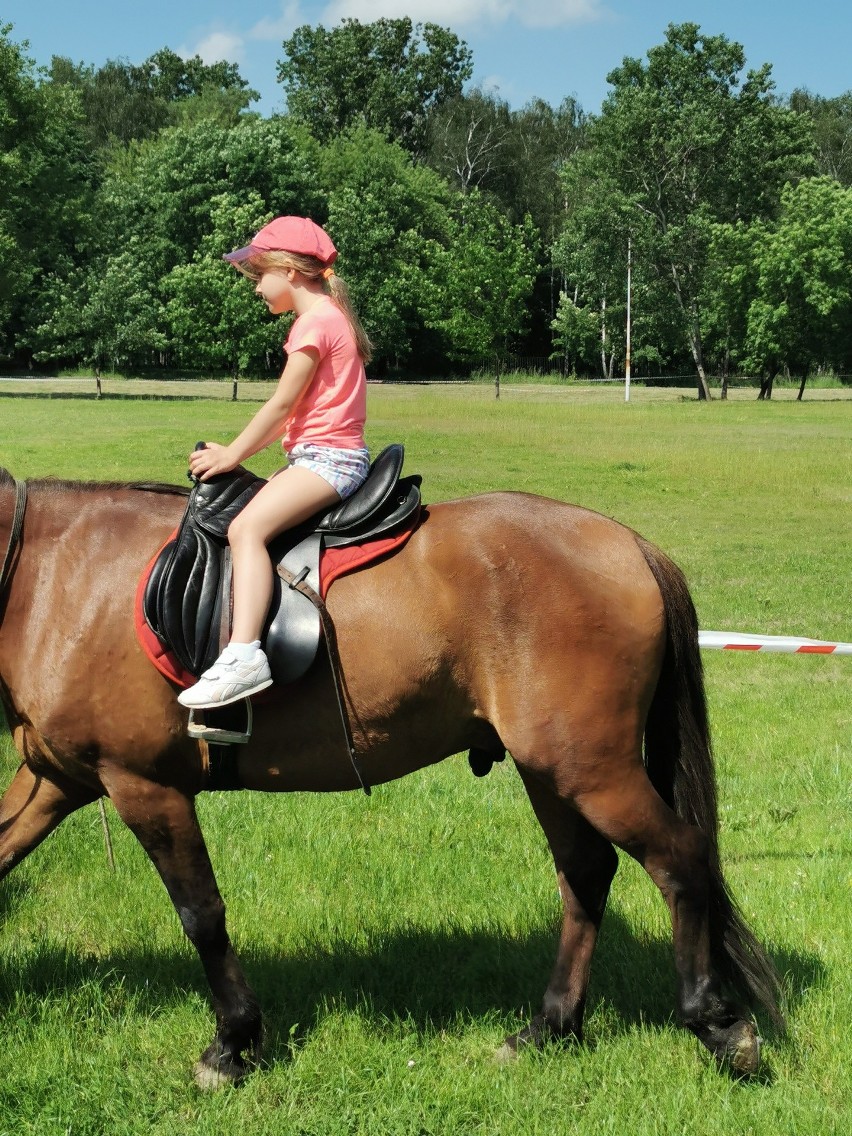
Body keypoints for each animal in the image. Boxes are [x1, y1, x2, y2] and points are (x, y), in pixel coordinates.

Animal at [0, 465, 786, 1086]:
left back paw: (718, 1024)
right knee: (587, 875)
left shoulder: (145, 786)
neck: (53, 577)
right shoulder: (53, 779)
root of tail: (631, 546)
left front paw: (233, 1044)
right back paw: (549, 1028)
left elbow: (203, 915)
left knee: (679, 859)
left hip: (592, 769)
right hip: (554, 771)